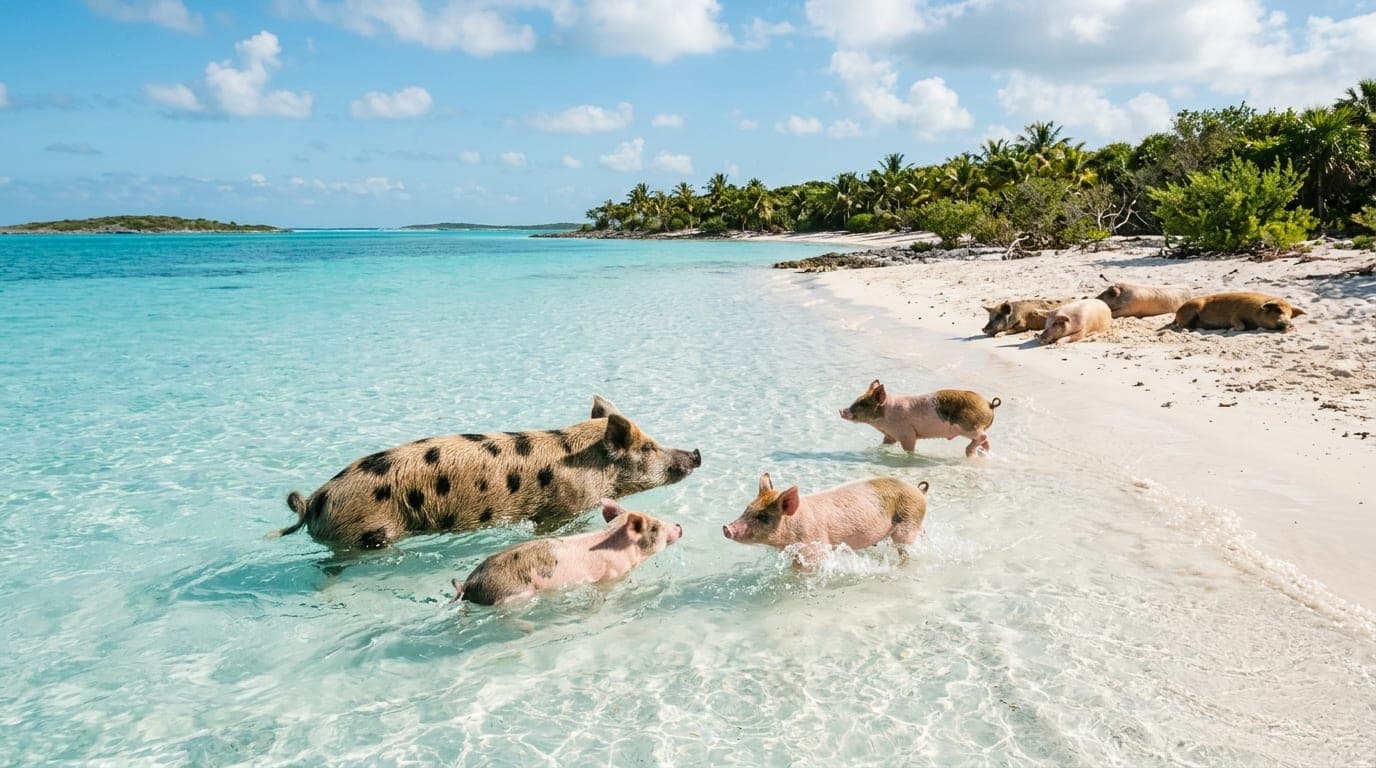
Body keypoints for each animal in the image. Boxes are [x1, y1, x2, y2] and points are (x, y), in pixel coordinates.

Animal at [722, 473, 928, 564]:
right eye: (747, 508)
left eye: (763, 516)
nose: (726, 527)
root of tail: (919, 491)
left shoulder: (815, 544)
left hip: (908, 523)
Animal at [840, 380, 1001, 457]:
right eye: (857, 400)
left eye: (863, 404)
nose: (841, 410)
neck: (885, 418)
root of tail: (989, 404)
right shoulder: (890, 435)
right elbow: (885, 444)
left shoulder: (907, 434)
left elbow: (909, 449)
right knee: (985, 441)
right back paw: (980, 454)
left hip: (969, 426)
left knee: (982, 436)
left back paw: (970, 453)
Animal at [1171, 291, 1305, 333]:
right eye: (1278, 310)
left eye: (1291, 315)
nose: (1290, 324)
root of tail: (1177, 311)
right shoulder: (1235, 314)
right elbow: (1240, 325)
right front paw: (1231, 329)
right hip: (1191, 310)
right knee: (1182, 326)